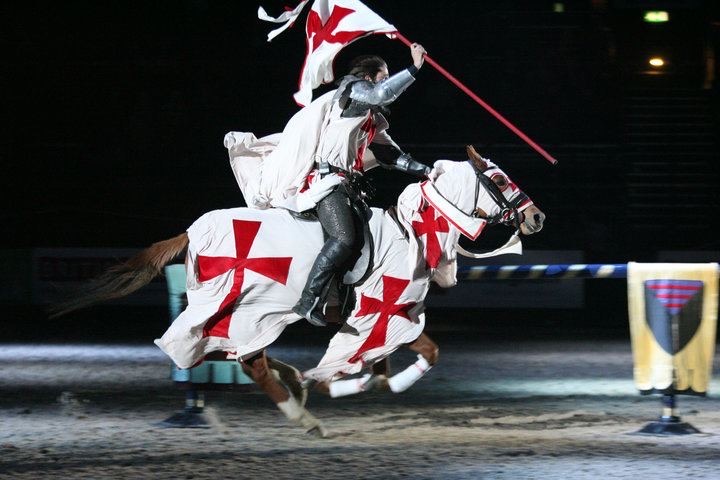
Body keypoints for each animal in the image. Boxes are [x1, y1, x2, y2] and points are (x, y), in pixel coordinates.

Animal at [51, 145, 545, 437]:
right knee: (243, 360)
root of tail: (192, 233)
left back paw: (295, 384)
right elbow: (425, 354)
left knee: (230, 354)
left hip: (242, 316)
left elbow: (377, 369)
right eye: (500, 180)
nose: (536, 217)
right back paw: (302, 416)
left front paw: (334, 382)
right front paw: (336, 382)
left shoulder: (380, 324)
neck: (416, 235)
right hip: (246, 310)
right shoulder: (386, 315)